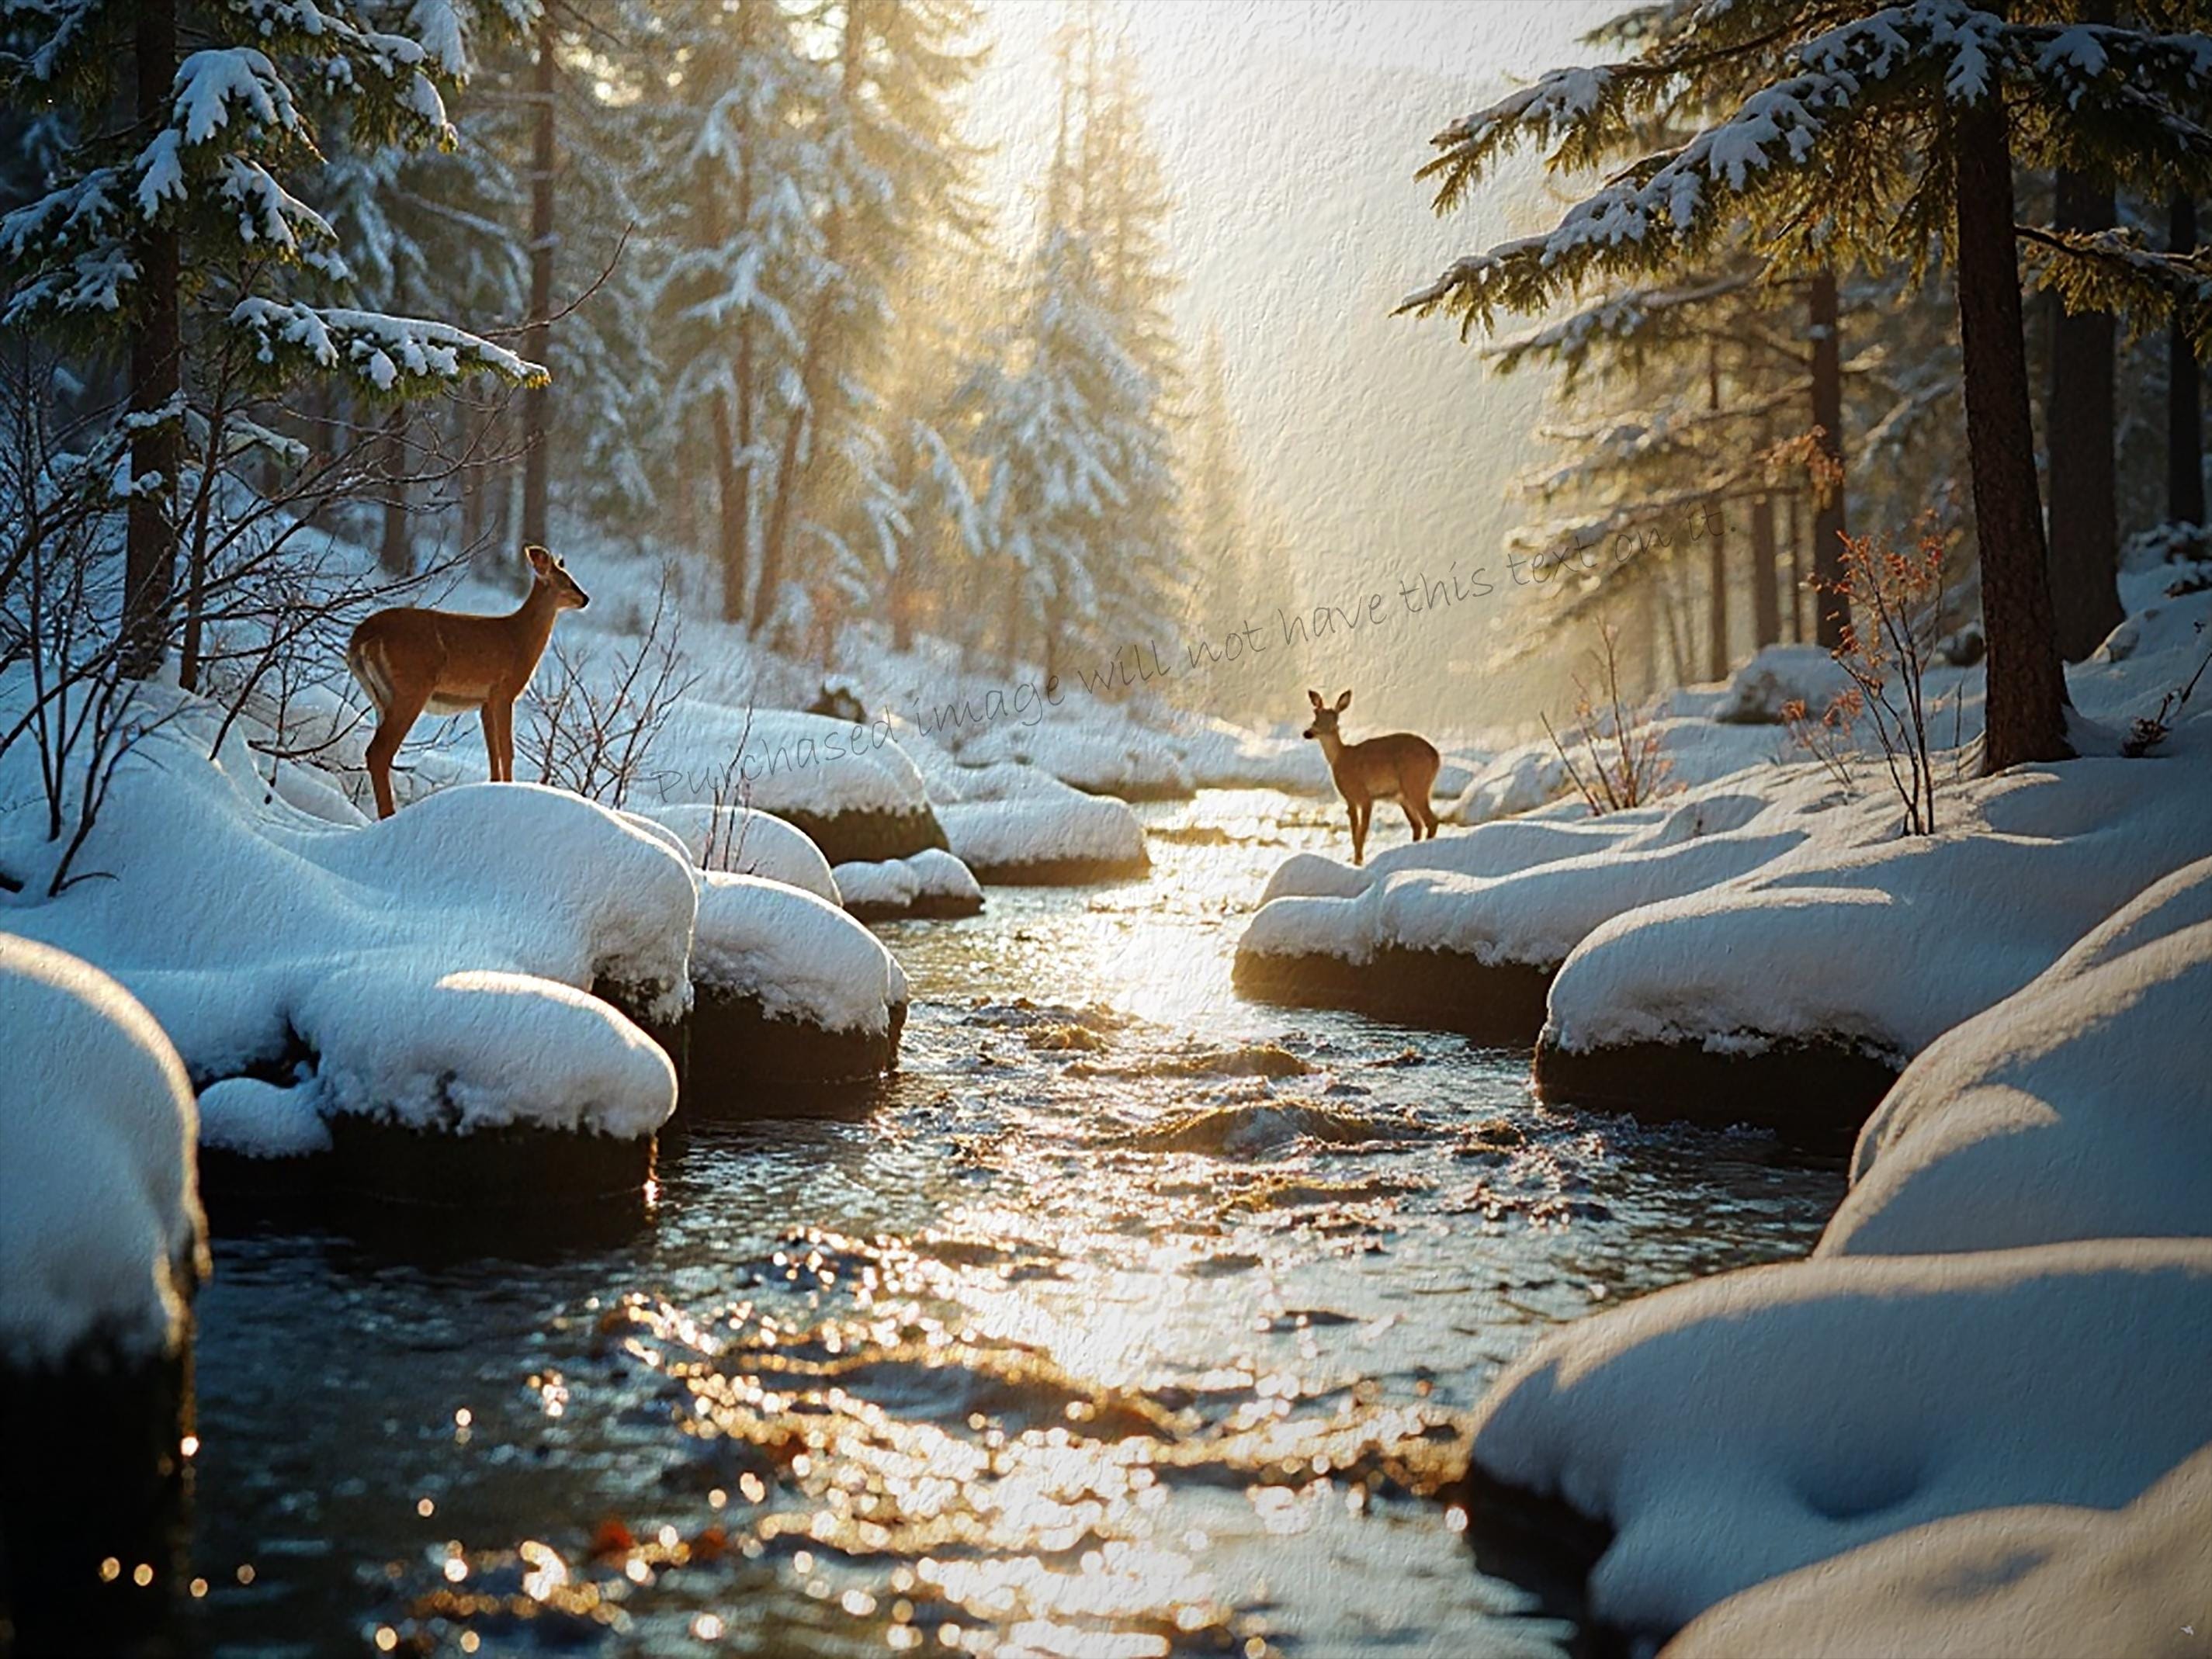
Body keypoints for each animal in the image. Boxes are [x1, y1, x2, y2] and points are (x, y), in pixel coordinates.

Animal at [346, 545, 591, 819]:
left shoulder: (484, 702)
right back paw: (390, 816)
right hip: (411, 687)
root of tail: (360, 638)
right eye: (567, 581)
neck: (519, 638)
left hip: (381, 696)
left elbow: (493, 754)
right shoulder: (504, 691)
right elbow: (507, 750)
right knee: (379, 752)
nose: (585, 599)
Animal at [1302, 689, 1441, 865]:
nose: (1307, 733)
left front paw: (1358, 862)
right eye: (1315, 715)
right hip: (1404, 796)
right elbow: (1355, 833)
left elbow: (1360, 833)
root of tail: (1436, 756)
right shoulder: (1352, 800)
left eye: (1335, 720)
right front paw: (1357, 860)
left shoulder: (1363, 796)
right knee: (1418, 824)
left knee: (1431, 821)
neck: (1340, 757)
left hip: (1416, 785)